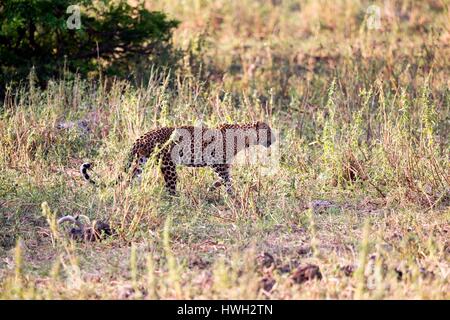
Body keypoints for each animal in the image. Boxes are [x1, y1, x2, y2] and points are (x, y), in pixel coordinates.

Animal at [81, 120, 276, 194]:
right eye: (268, 131)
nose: (274, 139)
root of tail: (143, 136)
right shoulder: (217, 162)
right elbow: (227, 179)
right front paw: (231, 194)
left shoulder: (223, 164)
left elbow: (225, 178)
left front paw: (213, 188)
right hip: (168, 165)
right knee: (170, 188)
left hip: (140, 162)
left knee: (129, 179)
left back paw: (127, 194)